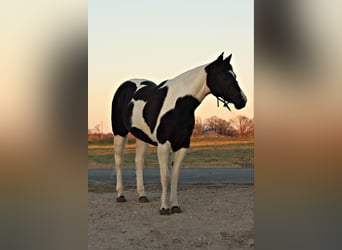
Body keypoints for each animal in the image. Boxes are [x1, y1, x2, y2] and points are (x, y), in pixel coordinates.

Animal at [111, 52, 247, 215]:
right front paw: (164, 207)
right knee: (119, 161)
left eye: (234, 75)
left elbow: (175, 176)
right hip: (119, 133)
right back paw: (120, 195)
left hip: (141, 136)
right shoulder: (163, 144)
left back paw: (142, 195)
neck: (178, 105)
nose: (243, 100)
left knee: (138, 161)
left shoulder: (182, 145)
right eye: (225, 77)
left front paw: (175, 206)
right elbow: (165, 177)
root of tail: (125, 85)